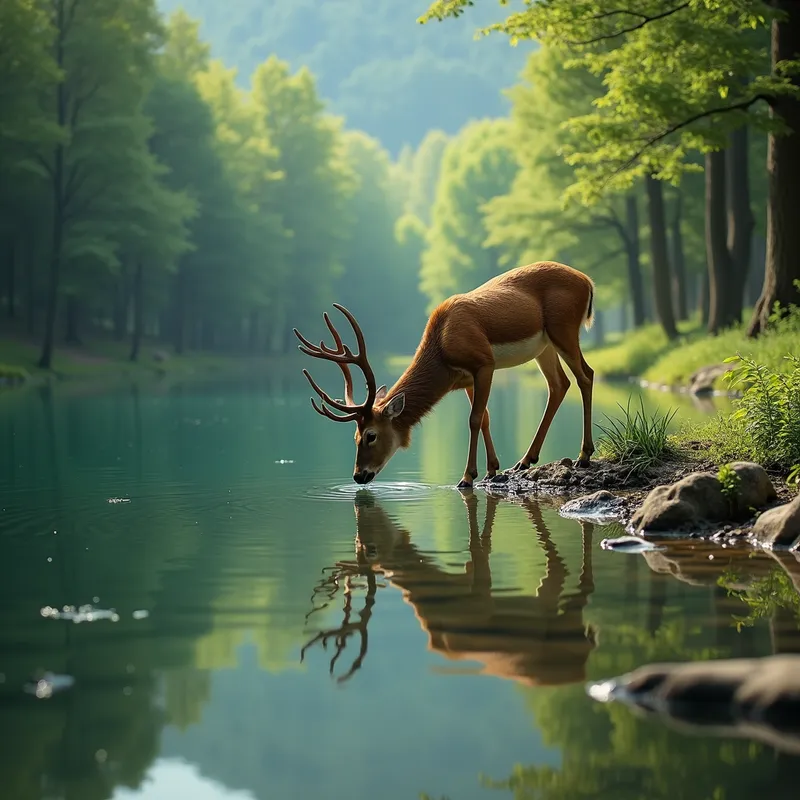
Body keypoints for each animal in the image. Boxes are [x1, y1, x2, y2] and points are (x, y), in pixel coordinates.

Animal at [292, 261, 596, 488]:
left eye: (371, 435)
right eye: (354, 437)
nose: (358, 476)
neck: (442, 349)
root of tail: (588, 282)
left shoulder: (483, 363)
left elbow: (474, 419)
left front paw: (467, 477)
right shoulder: (467, 379)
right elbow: (485, 418)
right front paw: (493, 470)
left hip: (564, 329)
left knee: (586, 375)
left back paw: (583, 454)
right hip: (544, 347)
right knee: (559, 384)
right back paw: (525, 460)